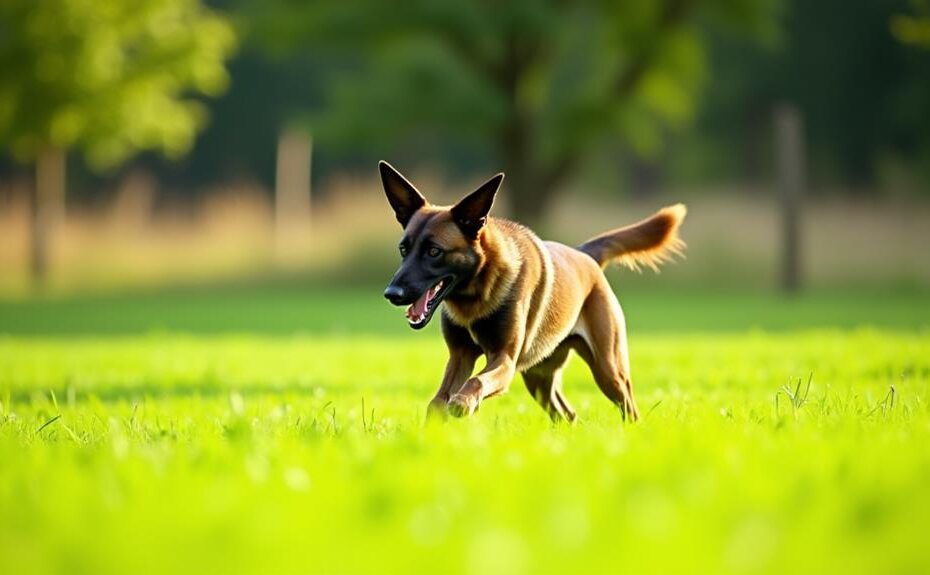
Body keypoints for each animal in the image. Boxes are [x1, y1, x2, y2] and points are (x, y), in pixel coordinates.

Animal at [376, 162, 680, 424]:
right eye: (403, 249)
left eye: (434, 251)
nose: (392, 293)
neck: (475, 295)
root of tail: (585, 255)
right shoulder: (460, 356)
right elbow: (437, 402)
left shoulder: (505, 360)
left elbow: (475, 381)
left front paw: (463, 403)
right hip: (538, 377)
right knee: (568, 416)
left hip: (608, 369)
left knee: (628, 407)